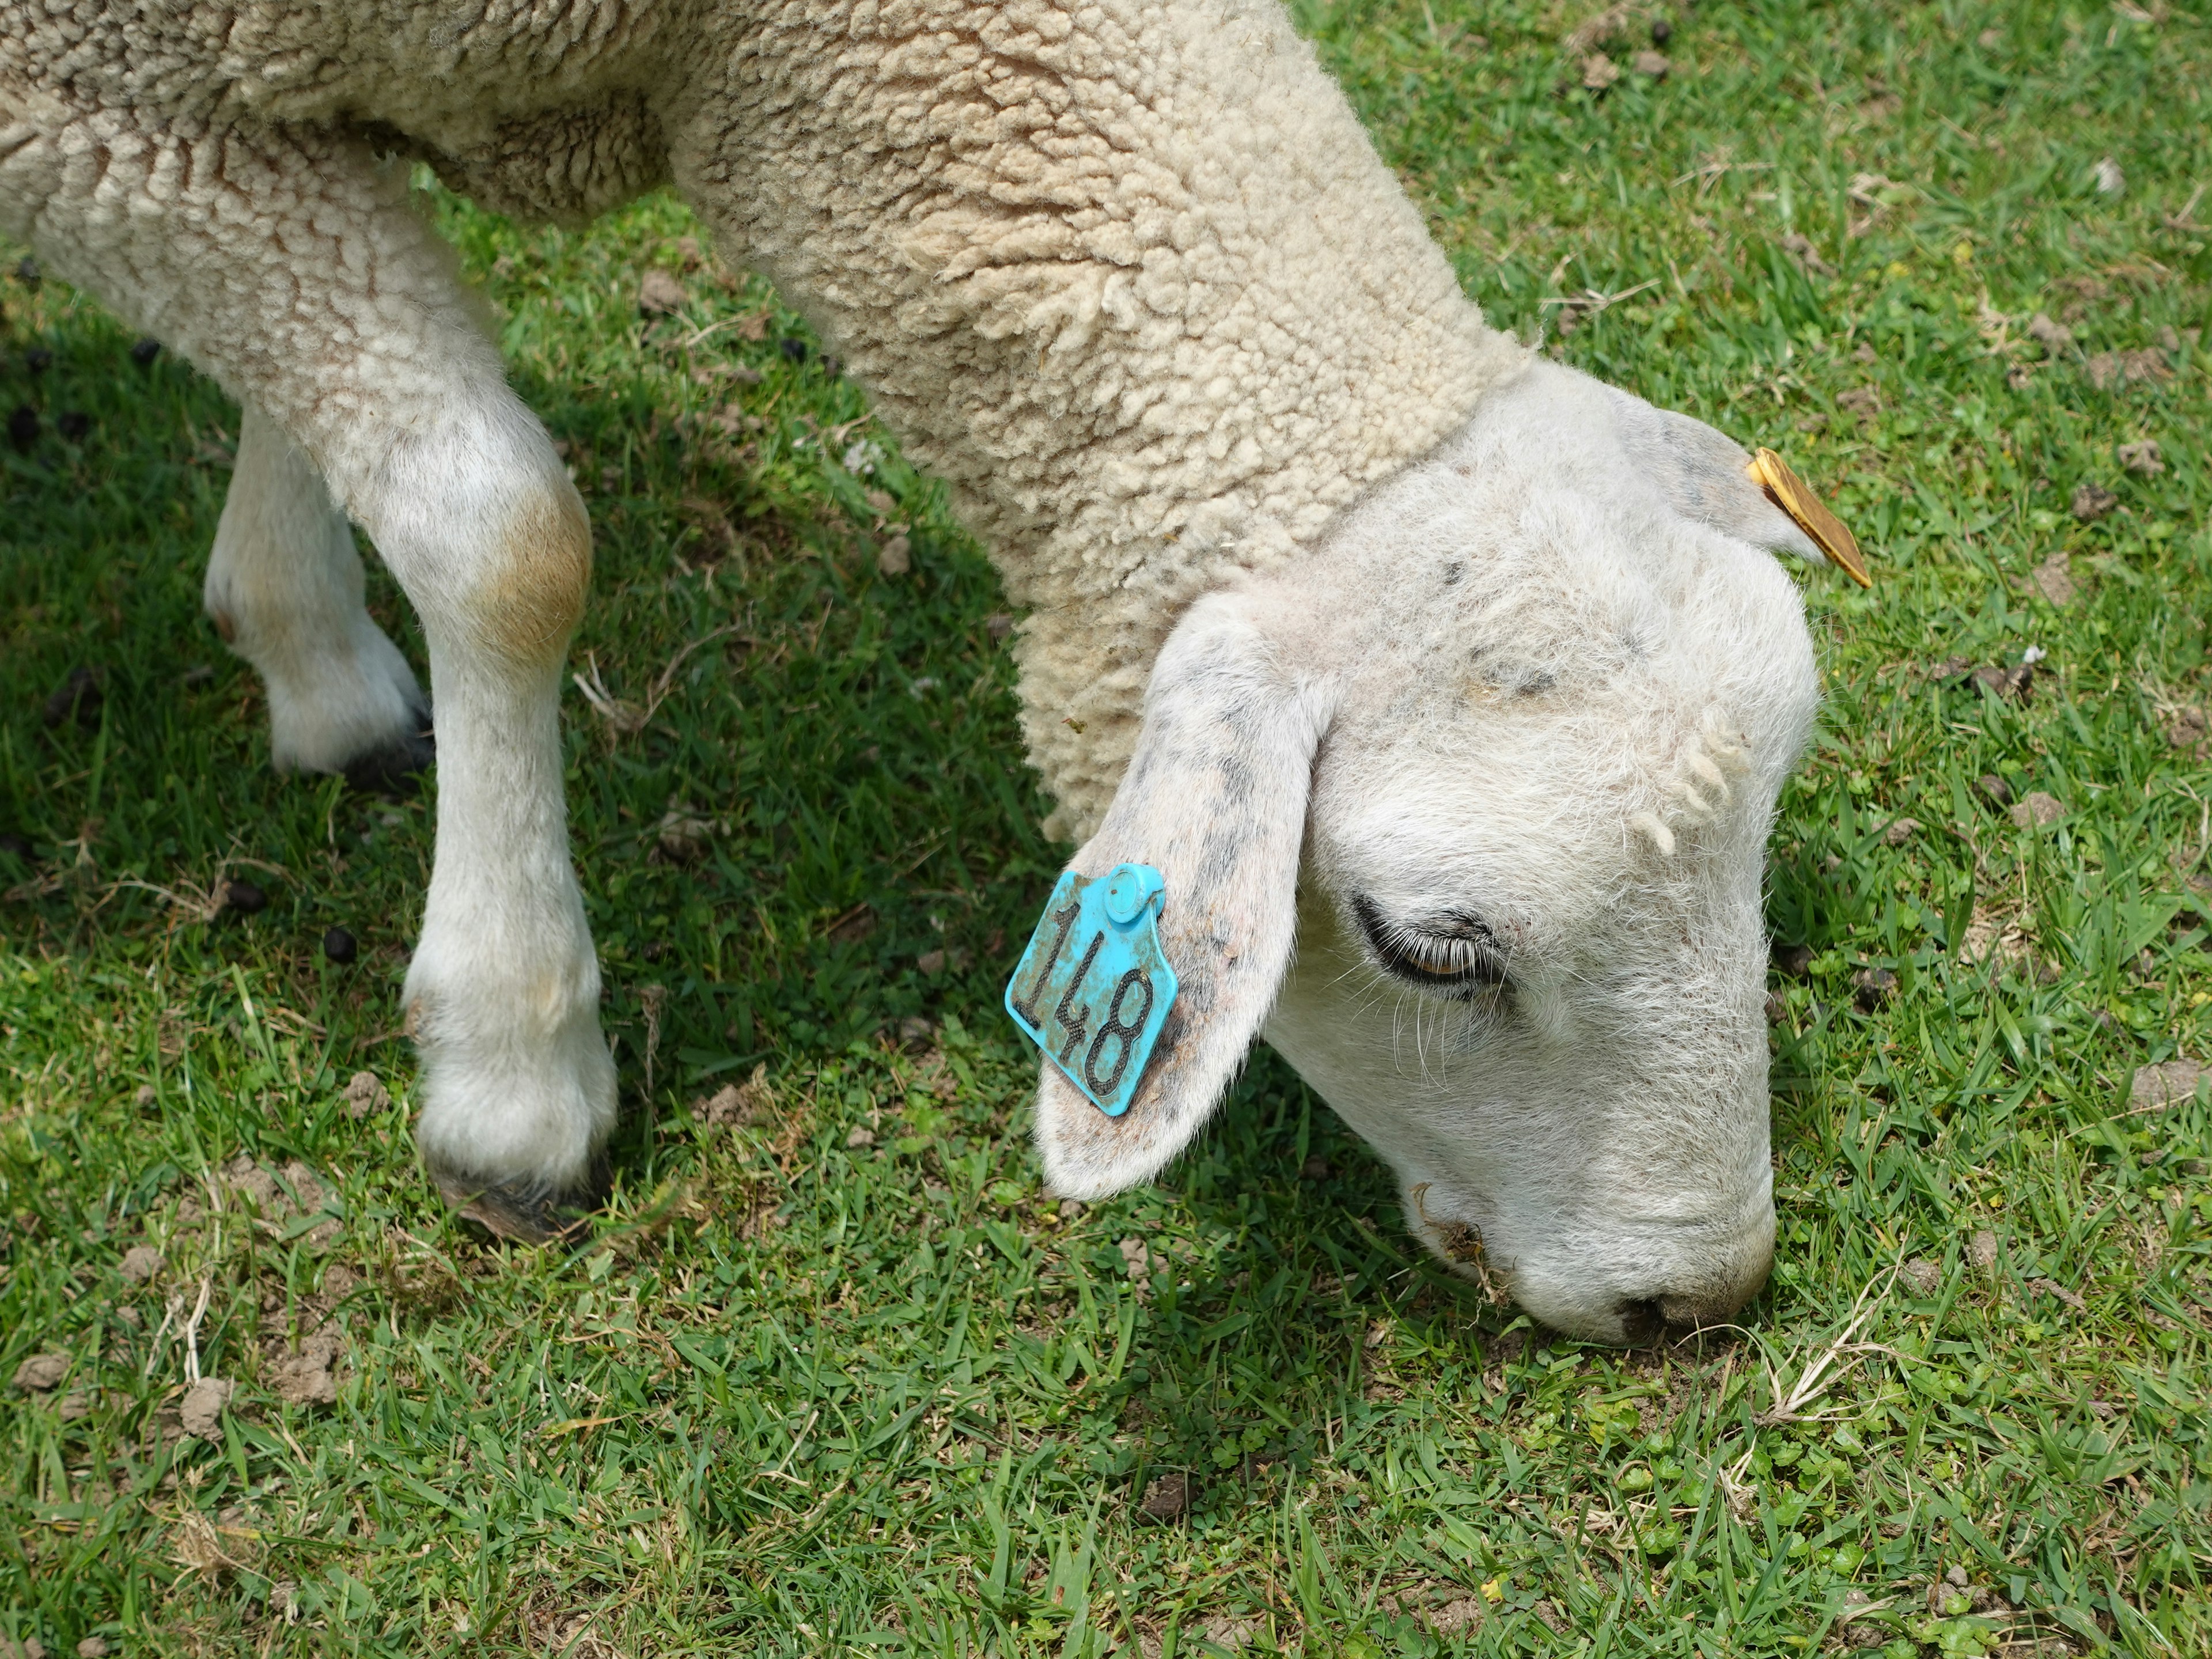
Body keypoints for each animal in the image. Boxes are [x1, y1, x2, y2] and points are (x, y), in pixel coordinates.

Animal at [0, 0, 1858, 1336]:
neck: (740, 40)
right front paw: (515, 1078)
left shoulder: (234, 114)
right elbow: (507, 539)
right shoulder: (91, 99)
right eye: (1429, 950)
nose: (1697, 1296)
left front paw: (307, 648)